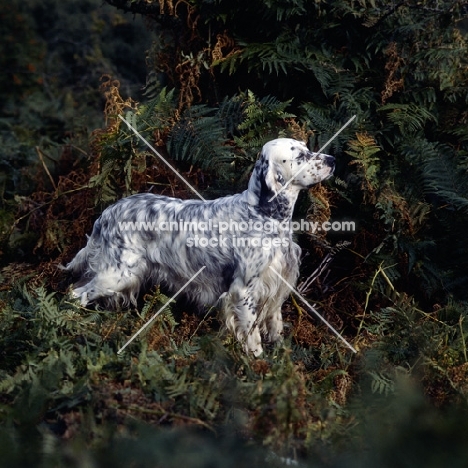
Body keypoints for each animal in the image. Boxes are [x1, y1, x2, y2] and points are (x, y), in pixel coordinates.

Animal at [66, 138, 336, 354]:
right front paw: (259, 365)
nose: (333, 159)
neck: (262, 214)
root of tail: (106, 213)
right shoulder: (243, 291)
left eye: (307, 148)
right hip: (117, 274)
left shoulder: (276, 283)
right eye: (300, 156)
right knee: (75, 295)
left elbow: (275, 325)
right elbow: (253, 338)